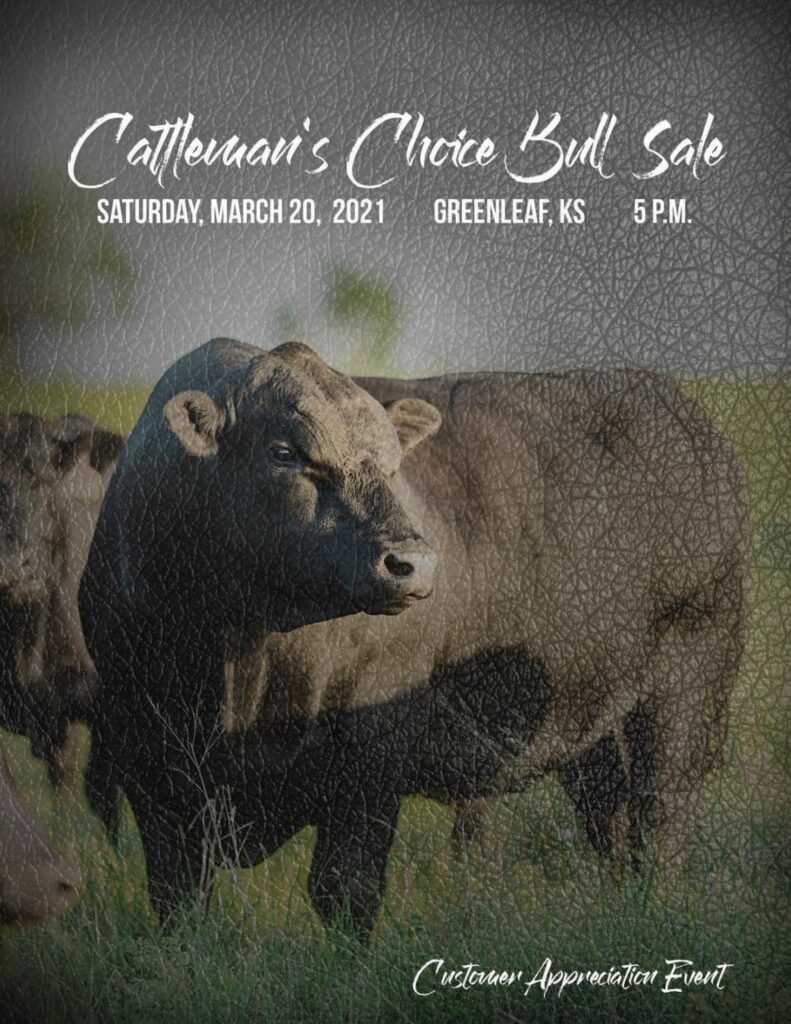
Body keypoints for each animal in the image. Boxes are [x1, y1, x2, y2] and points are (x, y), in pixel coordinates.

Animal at [80, 339, 749, 938]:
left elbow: (344, 892)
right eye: (285, 452)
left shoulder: (368, 770)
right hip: (594, 729)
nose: (413, 563)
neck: (235, 656)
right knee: (610, 828)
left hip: (686, 696)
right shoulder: (148, 770)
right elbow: (178, 898)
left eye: (391, 465)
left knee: (659, 824)